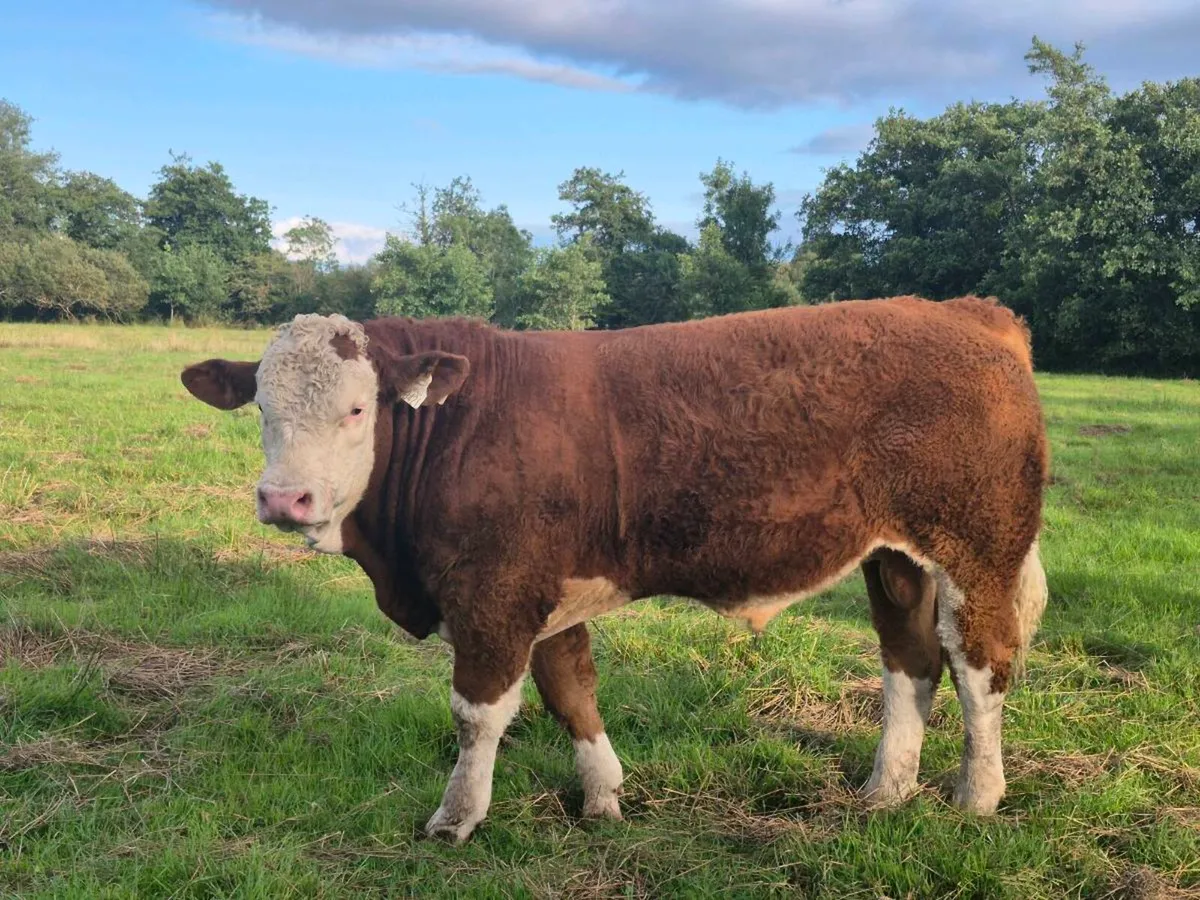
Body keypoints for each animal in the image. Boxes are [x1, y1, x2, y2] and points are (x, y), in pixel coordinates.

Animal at [180, 295, 1049, 842]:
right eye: (261, 408)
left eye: (358, 409)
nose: (284, 498)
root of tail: (963, 310)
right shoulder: (546, 588)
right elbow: (570, 689)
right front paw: (603, 797)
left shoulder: (492, 591)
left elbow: (478, 713)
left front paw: (457, 819)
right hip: (896, 558)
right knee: (910, 660)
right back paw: (885, 790)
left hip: (978, 546)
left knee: (980, 667)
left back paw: (976, 796)